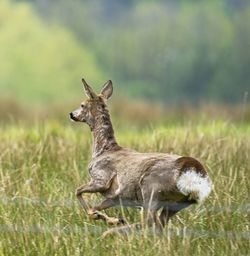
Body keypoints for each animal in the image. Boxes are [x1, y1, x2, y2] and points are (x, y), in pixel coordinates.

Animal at [69, 78, 212, 236]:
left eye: (82, 104)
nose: (72, 114)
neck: (103, 150)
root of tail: (194, 172)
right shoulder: (116, 197)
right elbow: (93, 206)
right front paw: (110, 219)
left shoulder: (101, 179)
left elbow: (79, 193)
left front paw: (111, 219)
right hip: (179, 202)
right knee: (160, 223)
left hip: (151, 189)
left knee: (150, 222)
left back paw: (110, 233)